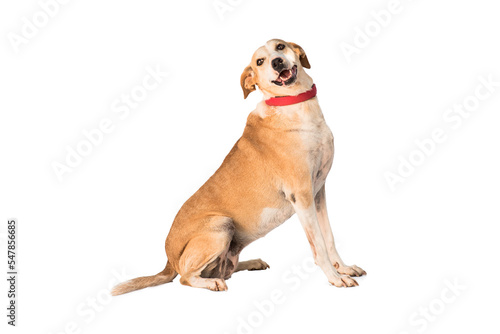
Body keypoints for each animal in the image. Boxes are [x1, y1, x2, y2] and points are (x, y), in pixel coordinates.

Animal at [112, 39, 364, 294]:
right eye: (259, 61)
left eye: (280, 46)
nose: (276, 62)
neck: (295, 105)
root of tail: (168, 261)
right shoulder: (301, 195)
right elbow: (319, 245)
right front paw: (335, 277)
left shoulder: (318, 191)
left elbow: (329, 237)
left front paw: (343, 268)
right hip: (221, 225)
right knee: (186, 277)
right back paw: (211, 282)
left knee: (226, 269)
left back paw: (252, 263)